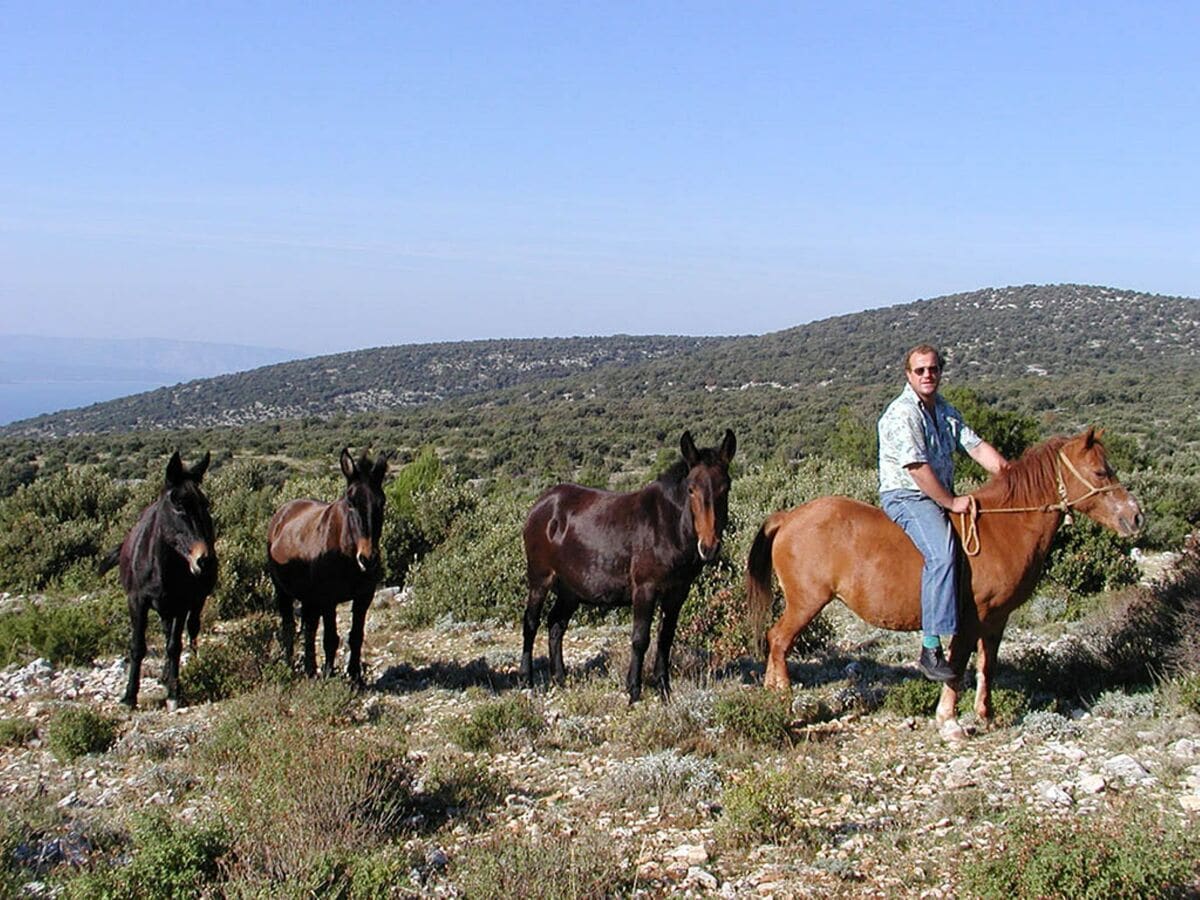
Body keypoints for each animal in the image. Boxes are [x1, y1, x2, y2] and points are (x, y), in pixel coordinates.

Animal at [99, 451, 217, 710]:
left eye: (205, 505)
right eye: (178, 505)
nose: (205, 561)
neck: (162, 566)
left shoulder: (183, 603)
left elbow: (174, 646)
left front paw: (174, 694)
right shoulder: (137, 601)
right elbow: (138, 646)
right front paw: (129, 696)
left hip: (195, 601)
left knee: (191, 630)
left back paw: (191, 665)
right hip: (164, 608)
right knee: (166, 631)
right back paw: (164, 676)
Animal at [268, 451, 388, 681]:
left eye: (382, 503)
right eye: (350, 502)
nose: (367, 559)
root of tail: (283, 512)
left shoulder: (364, 597)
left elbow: (356, 635)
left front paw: (355, 677)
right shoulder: (328, 600)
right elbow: (331, 638)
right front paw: (329, 676)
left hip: (309, 598)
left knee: (310, 628)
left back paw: (310, 669)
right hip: (283, 592)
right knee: (289, 627)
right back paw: (290, 667)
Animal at [520, 429, 734, 705]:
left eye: (726, 488)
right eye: (691, 490)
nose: (709, 547)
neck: (668, 526)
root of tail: (543, 501)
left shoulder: (677, 593)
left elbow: (665, 638)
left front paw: (664, 688)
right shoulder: (645, 589)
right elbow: (640, 639)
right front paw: (633, 691)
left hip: (570, 589)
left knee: (556, 625)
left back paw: (560, 678)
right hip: (540, 578)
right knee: (531, 623)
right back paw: (527, 680)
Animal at [748, 427, 1142, 739]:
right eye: (1100, 471)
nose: (1136, 516)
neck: (1004, 529)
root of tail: (789, 517)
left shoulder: (996, 619)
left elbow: (986, 666)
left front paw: (986, 715)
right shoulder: (970, 617)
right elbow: (955, 666)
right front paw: (949, 721)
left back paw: (770, 694)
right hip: (807, 602)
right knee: (779, 640)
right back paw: (784, 699)